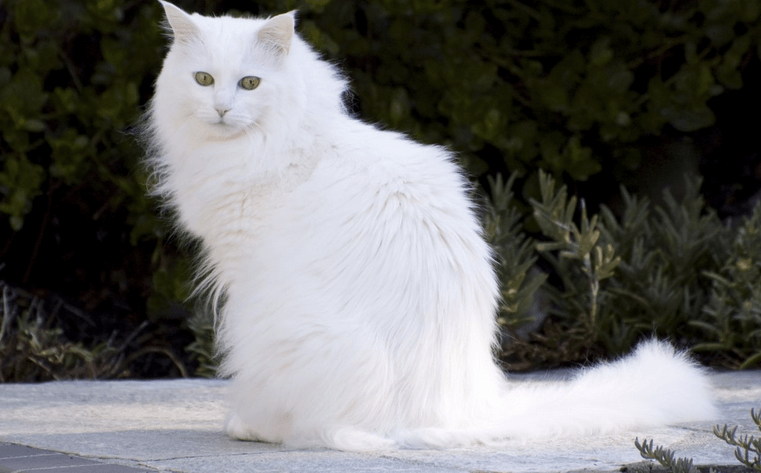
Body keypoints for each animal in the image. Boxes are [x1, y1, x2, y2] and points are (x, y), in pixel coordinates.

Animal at [144, 0, 720, 450]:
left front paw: (244, 420)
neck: (282, 142)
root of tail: (455, 412)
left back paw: (256, 427)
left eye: (250, 83)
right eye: (203, 80)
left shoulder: (241, 270)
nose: (222, 109)